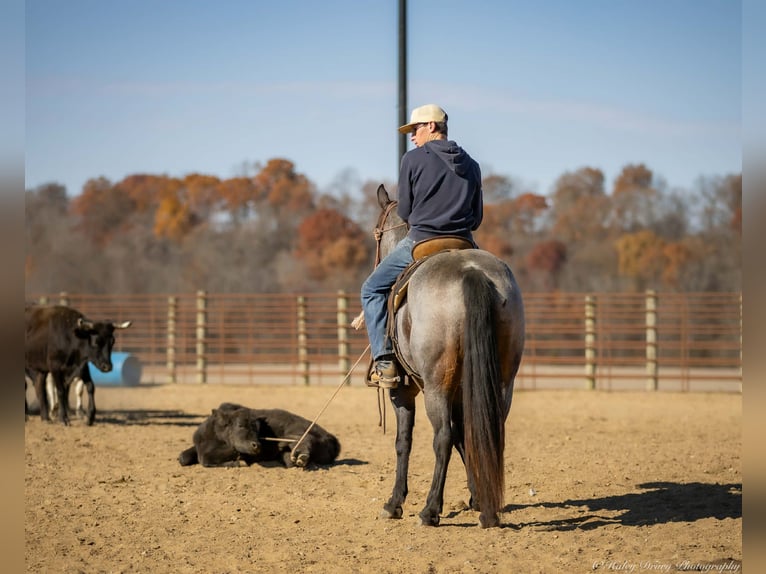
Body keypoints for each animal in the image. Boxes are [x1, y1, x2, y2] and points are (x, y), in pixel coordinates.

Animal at [370, 184, 525, 528]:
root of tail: (471, 272)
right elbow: (466, 437)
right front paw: (476, 495)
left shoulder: (404, 391)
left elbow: (404, 442)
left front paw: (394, 502)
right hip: (501, 382)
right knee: (488, 431)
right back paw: (489, 510)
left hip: (436, 386)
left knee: (442, 436)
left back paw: (429, 510)